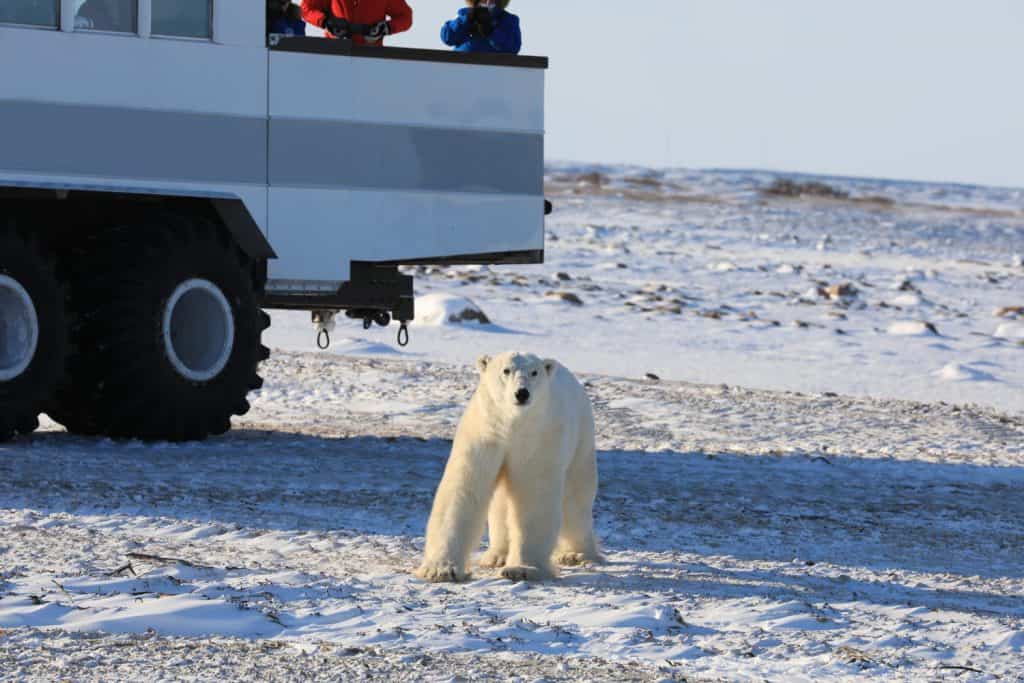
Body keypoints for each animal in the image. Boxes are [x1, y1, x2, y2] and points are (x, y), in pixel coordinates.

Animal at [416, 351, 601, 583]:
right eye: (506, 370)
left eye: (534, 372)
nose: (522, 393)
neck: (512, 424)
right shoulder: (486, 433)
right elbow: (464, 489)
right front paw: (440, 569)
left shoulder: (538, 439)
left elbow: (533, 494)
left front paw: (522, 569)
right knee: (501, 501)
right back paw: (497, 555)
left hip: (581, 439)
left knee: (575, 499)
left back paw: (575, 554)